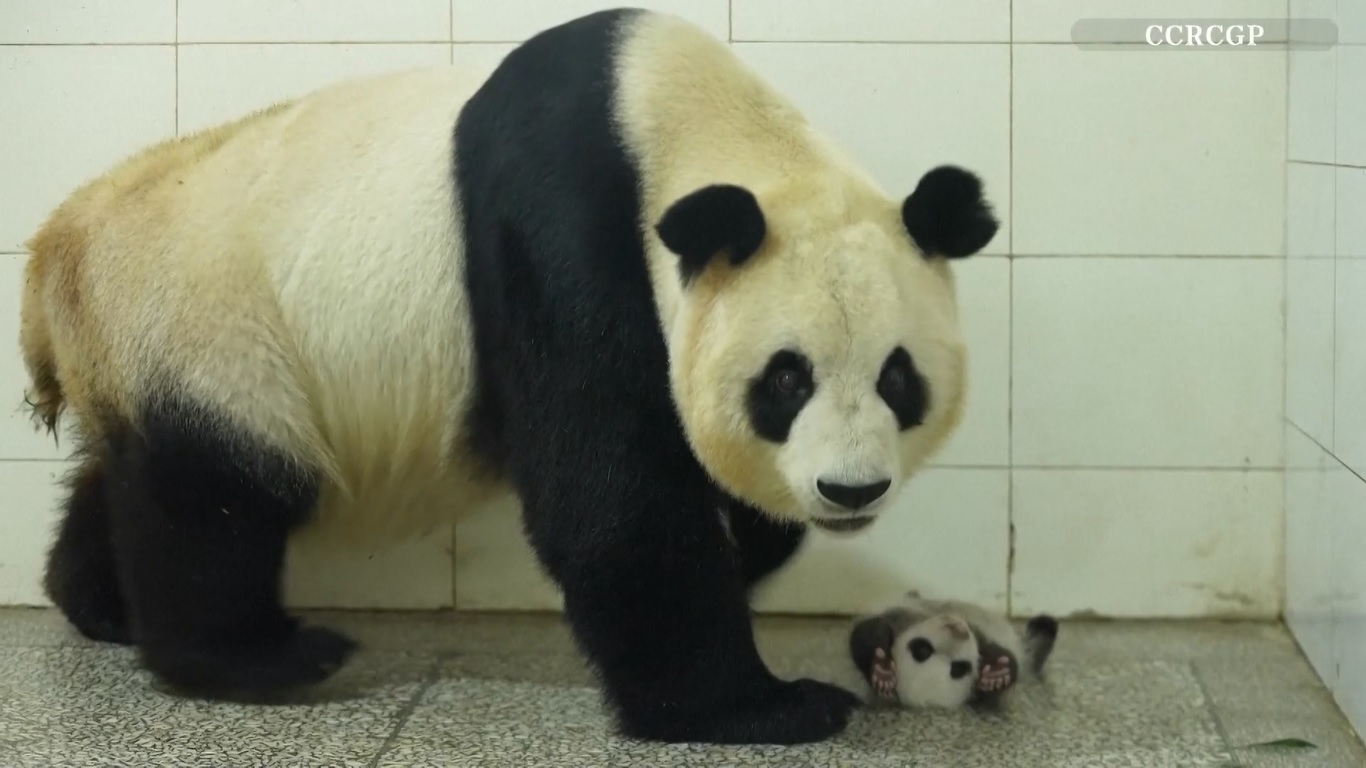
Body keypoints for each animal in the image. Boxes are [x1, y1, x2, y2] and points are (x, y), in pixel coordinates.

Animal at [18, 8, 998, 745]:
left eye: (899, 378)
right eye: (786, 381)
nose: (850, 490)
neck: (675, 113)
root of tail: (54, 252)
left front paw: (749, 547)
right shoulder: (561, 224)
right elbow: (609, 493)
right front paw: (758, 707)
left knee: (137, 476)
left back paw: (96, 604)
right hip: (211, 323)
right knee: (215, 498)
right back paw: (262, 658)